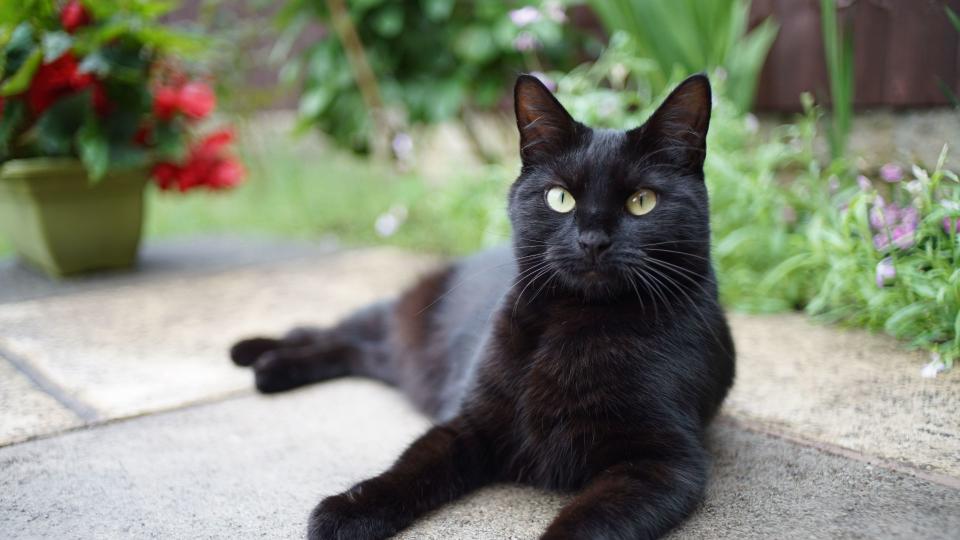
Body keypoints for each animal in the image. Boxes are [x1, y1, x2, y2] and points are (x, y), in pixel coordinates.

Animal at [231, 73, 736, 540]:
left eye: (641, 202)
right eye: (560, 198)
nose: (592, 241)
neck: (575, 323)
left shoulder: (661, 463)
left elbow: (588, 523)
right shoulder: (470, 420)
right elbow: (410, 467)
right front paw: (347, 511)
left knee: (357, 350)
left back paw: (270, 367)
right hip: (403, 320)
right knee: (334, 330)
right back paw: (254, 354)